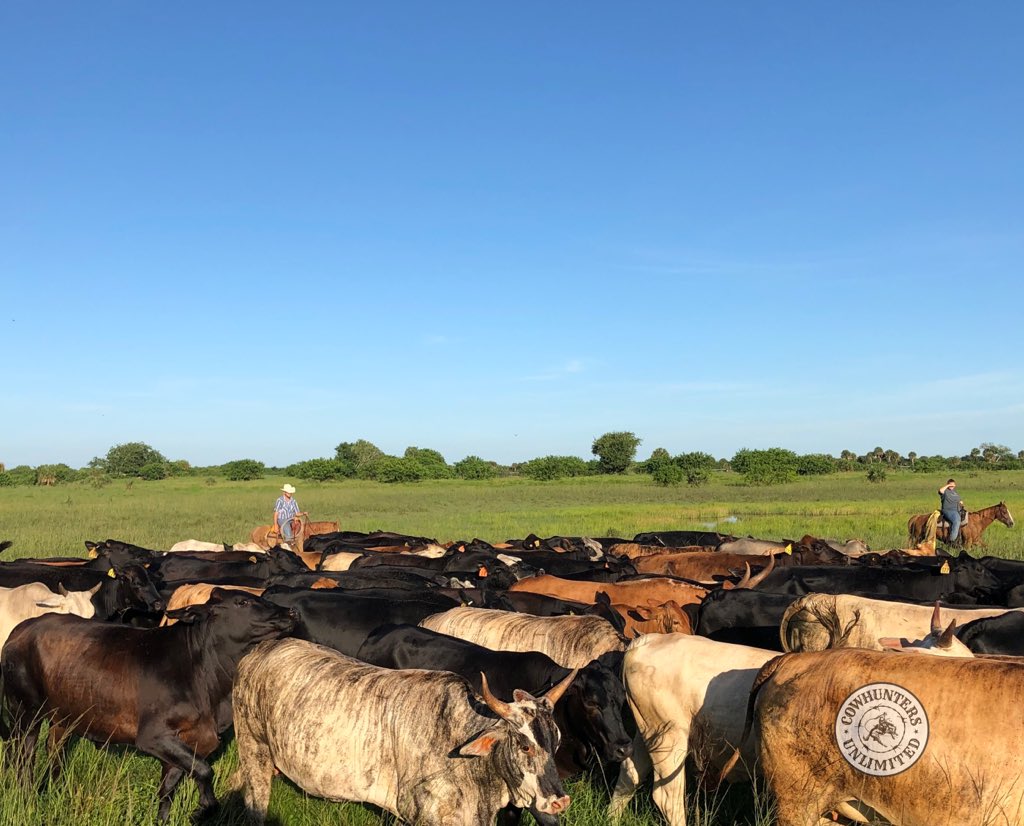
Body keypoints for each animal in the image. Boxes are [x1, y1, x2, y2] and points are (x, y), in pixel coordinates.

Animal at [4, 589, 299, 822]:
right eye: (242, 602)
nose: (291, 611)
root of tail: (23, 628)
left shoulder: (189, 742)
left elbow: (168, 790)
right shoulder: (152, 735)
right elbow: (204, 770)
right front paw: (203, 809)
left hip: (63, 716)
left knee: (54, 751)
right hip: (25, 712)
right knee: (22, 758)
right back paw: (27, 799)